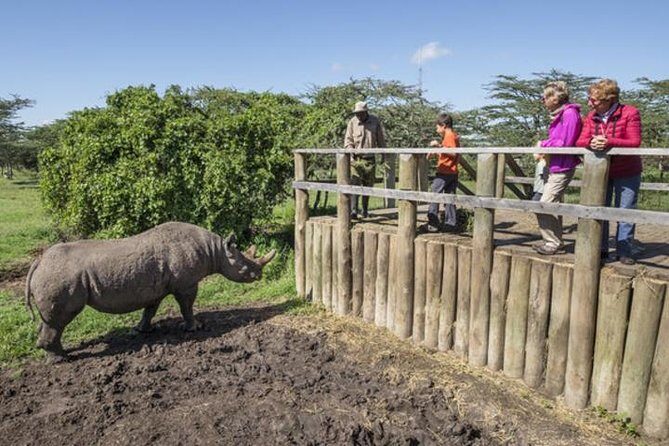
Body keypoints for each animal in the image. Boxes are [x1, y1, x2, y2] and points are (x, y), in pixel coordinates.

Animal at [25, 222, 275, 360]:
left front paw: (142, 330)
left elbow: (150, 309)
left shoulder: (155, 288)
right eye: (245, 267)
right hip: (59, 277)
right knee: (60, 319)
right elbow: (187, 305)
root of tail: (39, 261)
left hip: (54, 275)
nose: (259, 276)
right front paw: (195, 327)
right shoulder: (186, 284)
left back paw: (57, 353)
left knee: (50, 319)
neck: (216, 250)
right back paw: (62, 359)